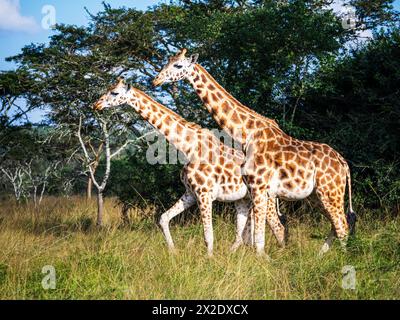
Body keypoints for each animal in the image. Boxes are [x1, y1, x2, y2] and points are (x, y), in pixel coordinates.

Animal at [94, 79, 255, 256]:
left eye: (114, 92)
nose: (96, 104)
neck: (189, 148)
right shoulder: (191, 193)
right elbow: (163, 218)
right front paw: (173, 252)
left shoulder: (204, 194)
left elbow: (208, 234)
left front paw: (209, 259)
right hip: (244, 199)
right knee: (244, 234)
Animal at [153, 48, 356, 256]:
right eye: (167, 61)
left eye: (178, 65)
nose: (156, 81)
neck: (247, 133)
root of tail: (344, 163)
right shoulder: (253, 188)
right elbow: (255, 237)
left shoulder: (258, 187)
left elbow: (258, 239)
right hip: (317, 196)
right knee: (335, 225)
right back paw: (320, 256)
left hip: (330, 191)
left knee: (342, 226)